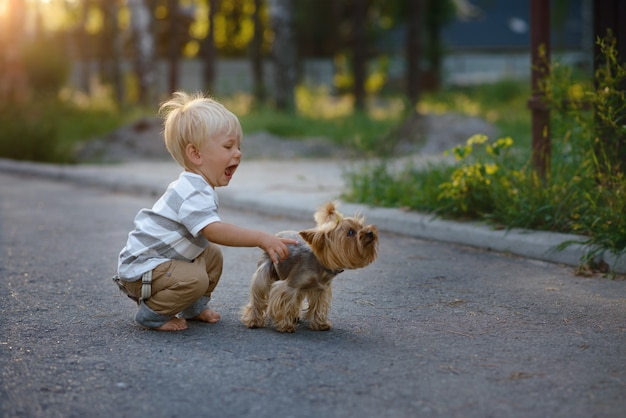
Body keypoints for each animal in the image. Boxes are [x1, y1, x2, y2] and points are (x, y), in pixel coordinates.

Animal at [241, 202, 378, 334]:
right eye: (350, 232)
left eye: (361, 226)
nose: (370, 232)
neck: (320, 262)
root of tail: (277, 235)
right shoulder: (291, 285)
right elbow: (284, 301)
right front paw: (285, 326)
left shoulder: (320, 289)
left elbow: (318, 305)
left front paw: (320, 324)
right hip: (265, 270)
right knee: (258, 296)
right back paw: (254, 320)